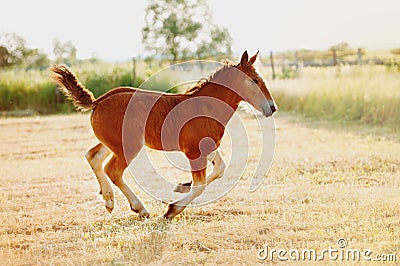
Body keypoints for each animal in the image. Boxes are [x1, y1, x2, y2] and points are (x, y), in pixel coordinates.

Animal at [51, 51, 276, 219]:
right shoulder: (194, 152)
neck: (206, 105)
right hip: (128, 146)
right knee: (112, 170)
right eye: (255, 81)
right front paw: (172, 209)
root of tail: (98, 102)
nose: (272, 108)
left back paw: (108, 200)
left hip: (112, 143)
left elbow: (220, 169)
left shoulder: (208, 147)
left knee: (93, 156)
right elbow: (200, 185)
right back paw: (140, 208)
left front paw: (182, 186)